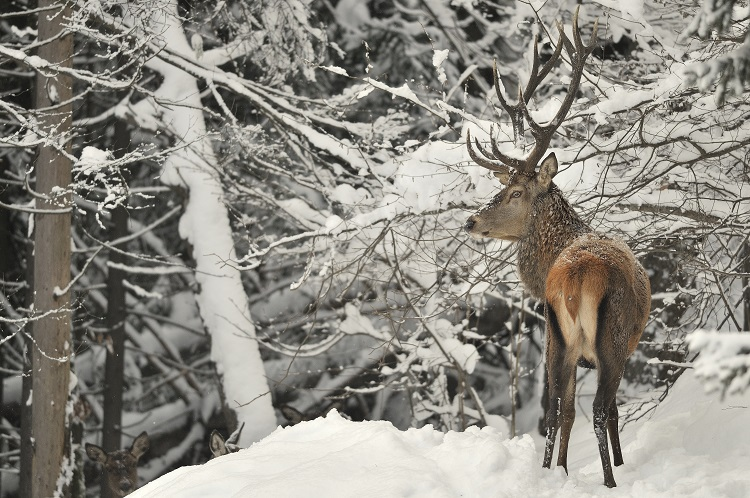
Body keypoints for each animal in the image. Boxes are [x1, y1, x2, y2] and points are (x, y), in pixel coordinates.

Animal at [463, 8, 651, 488]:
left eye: (513, 193)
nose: (471, 220)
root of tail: (576, 275)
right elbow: (608, 412)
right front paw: (616, 464)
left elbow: (562, 412)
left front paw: (562, 469)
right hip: (611, 339)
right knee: (600, 410)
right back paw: (610, 480)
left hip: (557, 337)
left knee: (554, 410)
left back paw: (551, 472)